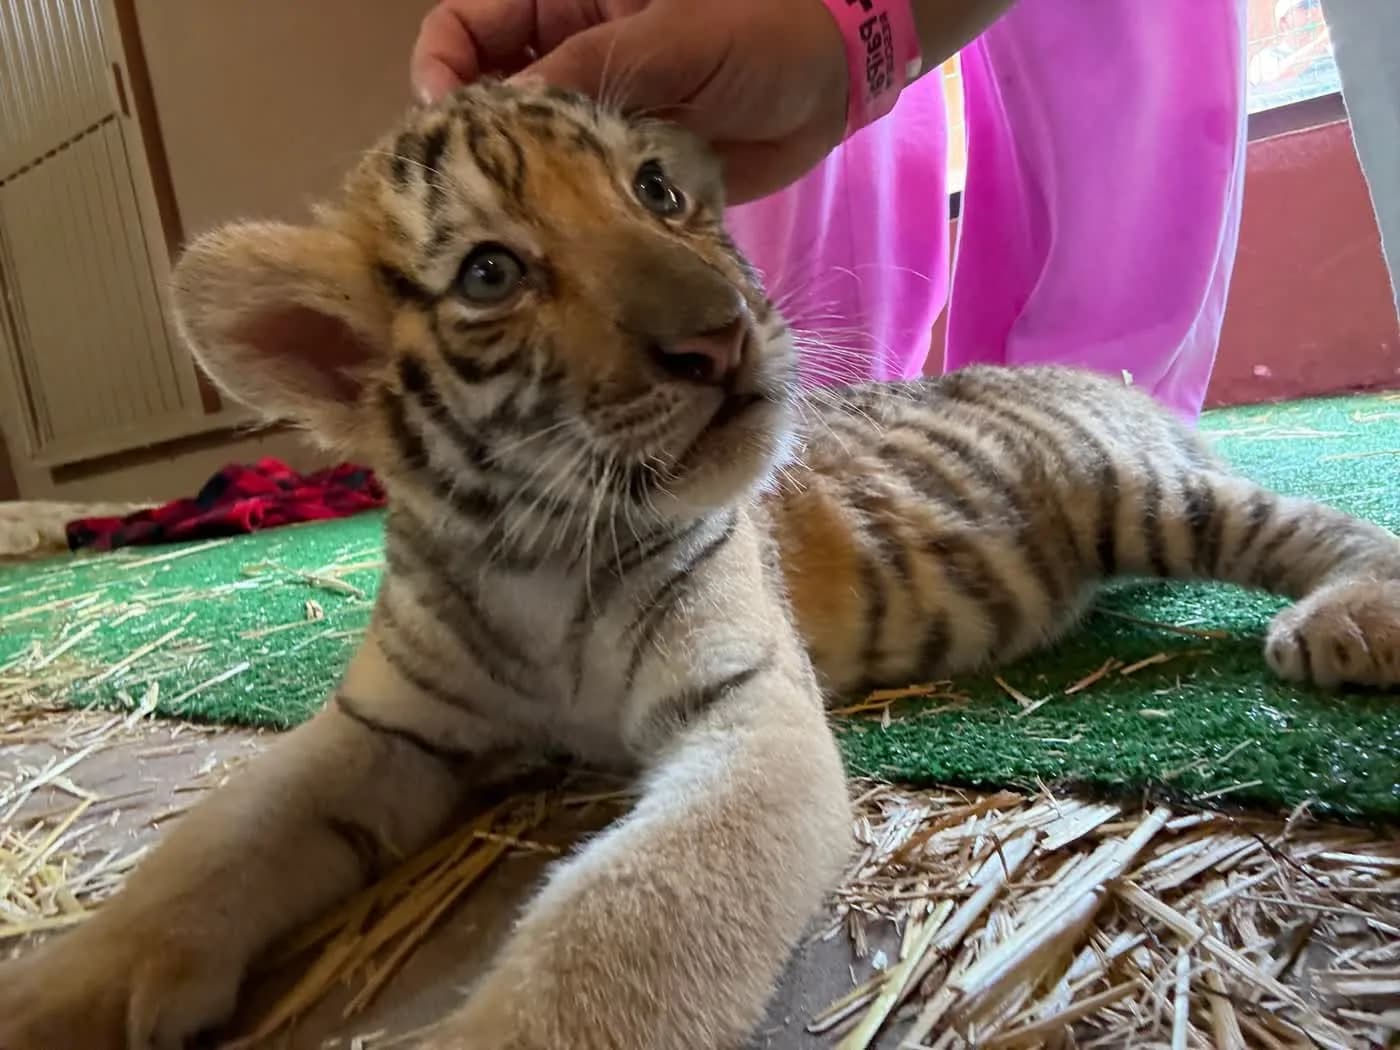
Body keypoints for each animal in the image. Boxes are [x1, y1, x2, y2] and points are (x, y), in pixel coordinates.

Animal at [1, 79, 1396, 1050]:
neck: (529, 544)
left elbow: (630, 915)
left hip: (1134, 494)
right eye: (490, 271)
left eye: (657, 194)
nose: (719, 335)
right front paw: (60, 992)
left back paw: (1348, 619)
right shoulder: (383, 731)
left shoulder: (746, 715)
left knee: (1309, 522)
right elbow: (210, 845)